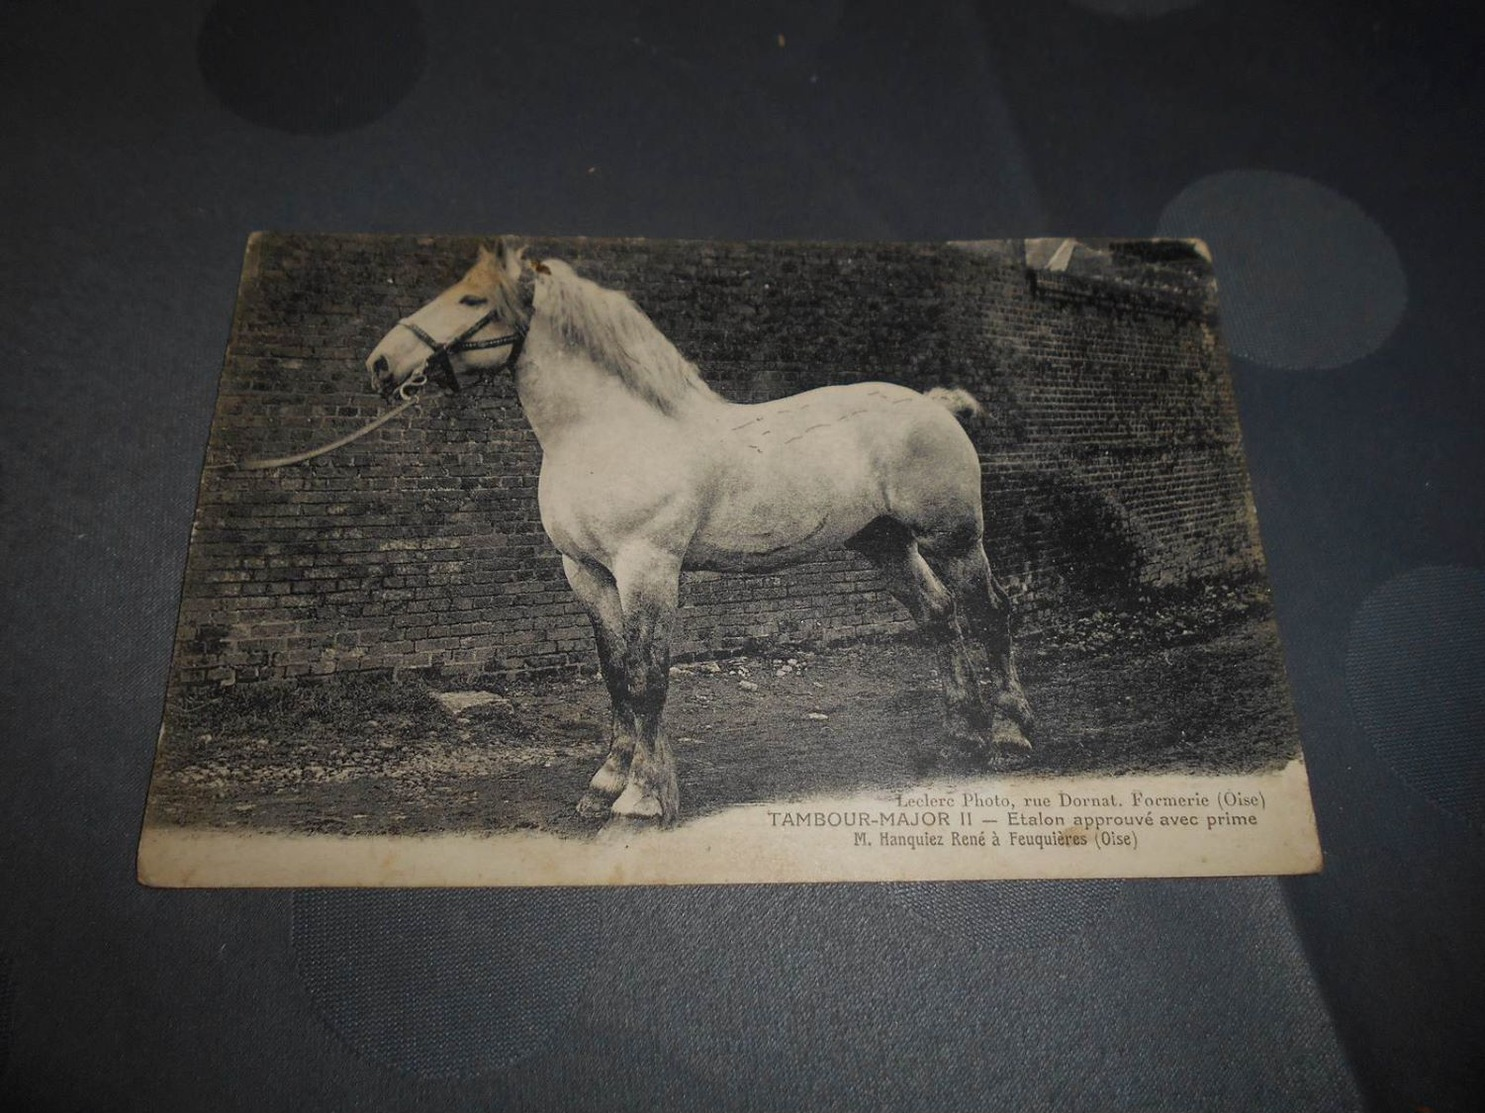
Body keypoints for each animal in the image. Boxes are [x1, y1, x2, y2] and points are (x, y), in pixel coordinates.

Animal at [368, 240, 1033, 826]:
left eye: (471, 299)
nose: (381, 364)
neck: (609, 434)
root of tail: (934, 405)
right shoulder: (586, 573)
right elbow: (615, 674)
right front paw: (606, 783)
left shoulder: (647, 568)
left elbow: (647, 676)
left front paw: (643, 798)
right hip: (885, 543)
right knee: (939, 616)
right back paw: (960, 734)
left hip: (954, 539)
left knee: (988, 614)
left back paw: (1010, 732)